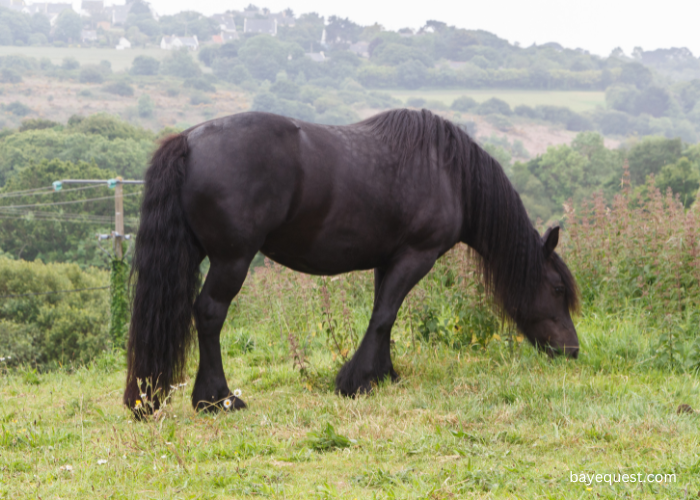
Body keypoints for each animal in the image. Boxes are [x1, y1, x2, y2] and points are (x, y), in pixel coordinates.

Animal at [121, 108, 580, 410]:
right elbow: (383, 316)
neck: (449, 173)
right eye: (557, 289)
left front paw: (383, 374)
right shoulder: (417, 255)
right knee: (210, 314)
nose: (572, 351)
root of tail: (188, 141)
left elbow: (385, 317)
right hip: (232, 260)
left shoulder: (390, 259)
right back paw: (217, 398)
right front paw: (355, 381)